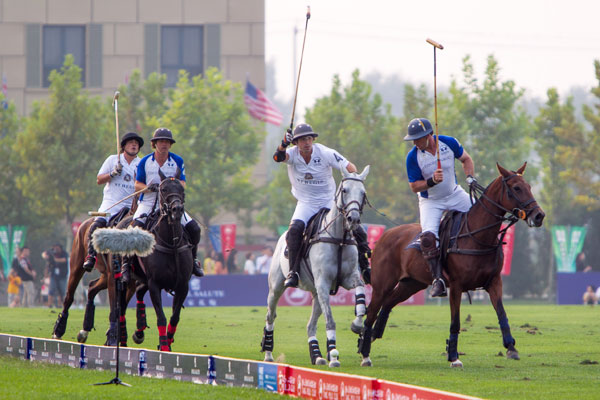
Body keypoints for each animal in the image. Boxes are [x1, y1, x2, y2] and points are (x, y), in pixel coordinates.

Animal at [51, 214, 138, 346]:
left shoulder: (132, 284)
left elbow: (121, 308)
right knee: (69, 296)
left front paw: (117, 338)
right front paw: (113, 339)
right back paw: (58, 330)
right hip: (77, 264)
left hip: (105, 276)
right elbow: (115, 309)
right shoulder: (114, 278)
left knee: (91, 287)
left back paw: (84, 330)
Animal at [127, 170, 193, 352]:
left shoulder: (182, 285)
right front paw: (164, 347)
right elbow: (161, 317)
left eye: (181, 189)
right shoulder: (155, 283)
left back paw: (139, 329)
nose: (177, 210)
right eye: (163, 189)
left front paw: (168, 343)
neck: (172, 243)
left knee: (139, 291)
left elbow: (174, 317)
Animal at [260, 164, 368, 368]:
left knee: (310, 325)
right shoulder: (323, 283)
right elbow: (331, 321)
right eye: (344, 190)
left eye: (363, 193)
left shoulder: (348, 278)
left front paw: (357, 324)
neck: (339, 238)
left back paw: (317, 356)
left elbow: (361, 295)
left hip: (316, 294)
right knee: (271, 316)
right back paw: (268, 353)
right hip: (276, 287)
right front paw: (334, 356)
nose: (354, 219)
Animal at [358, 162, 548, 366]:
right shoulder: (457, 286)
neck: (478, 237)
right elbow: (455, 322)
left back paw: (372, 336)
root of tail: (383, 236)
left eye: (529, 186)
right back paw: (365, 352)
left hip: (412, 283)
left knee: (387, 304)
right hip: (382, 284)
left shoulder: (494, 282)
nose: (539, 215)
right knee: (371, 312)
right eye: (516, 188)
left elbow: (502, 314)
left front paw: (511, 347)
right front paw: (454, 356)